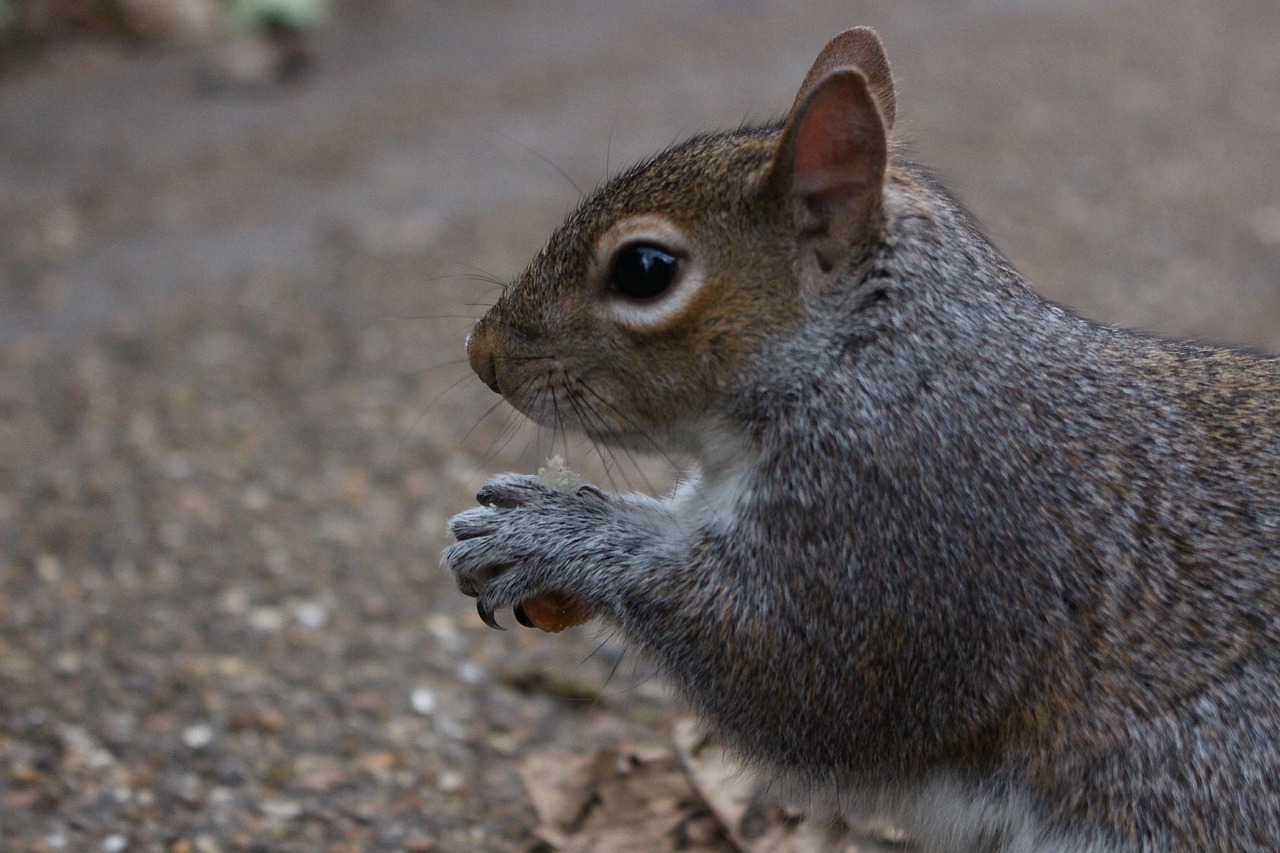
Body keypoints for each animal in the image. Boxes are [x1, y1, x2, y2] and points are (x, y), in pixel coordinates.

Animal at [445, 28, 1280, 850]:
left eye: (645, 269)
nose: (482, 356)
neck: (871, 356)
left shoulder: (904, 527)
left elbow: (792, 673)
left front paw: (548, 532)